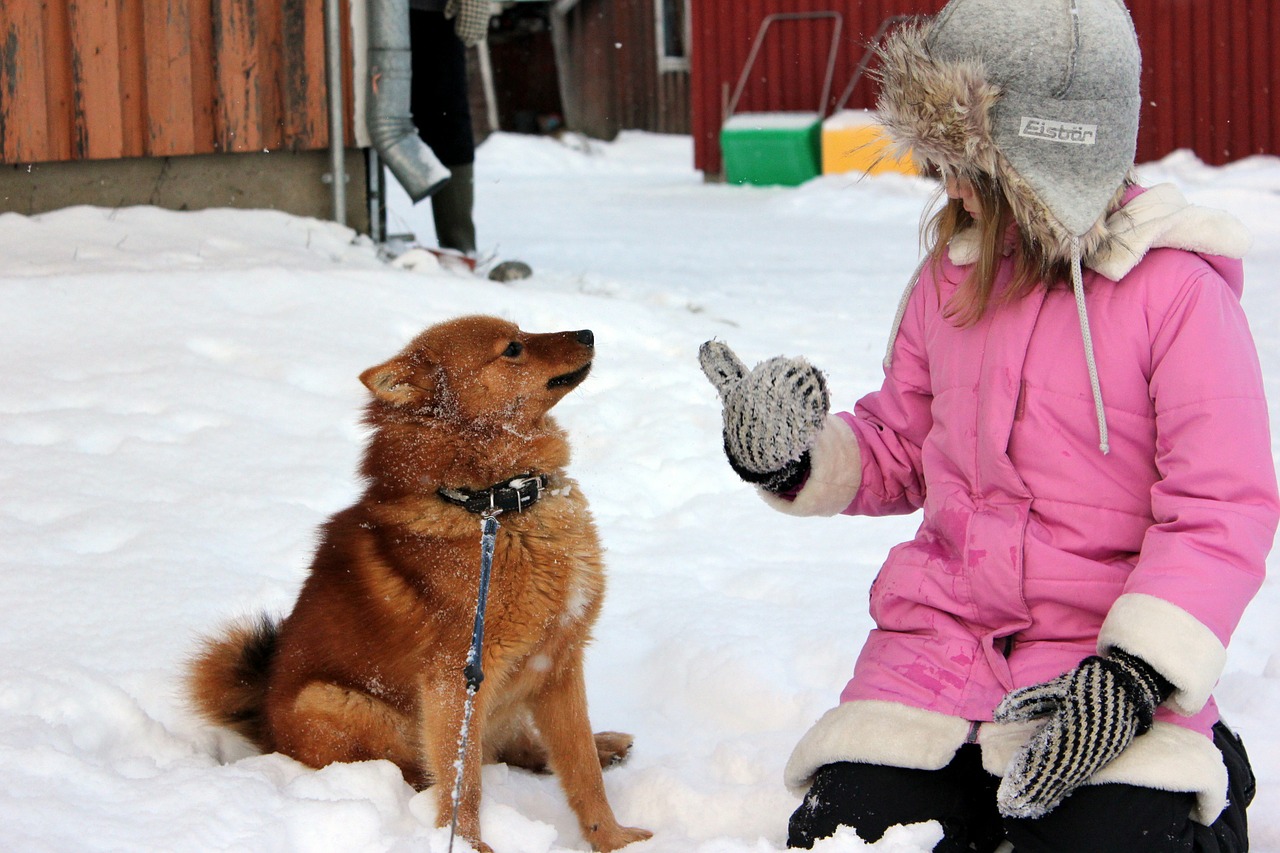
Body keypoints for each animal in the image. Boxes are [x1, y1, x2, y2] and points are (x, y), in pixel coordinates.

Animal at [189, 313, 650, 850]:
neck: (495, 504)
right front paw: (469, 845)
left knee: (518, 748)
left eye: (522, 332)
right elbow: (462, 785)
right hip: (333, 702)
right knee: (431, 769)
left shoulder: (557, 662)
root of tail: (263, 719)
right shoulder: (456, 680)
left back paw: (606, 744)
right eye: (512, 348)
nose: (588, 334)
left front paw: (615, 839)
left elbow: (581, 770)